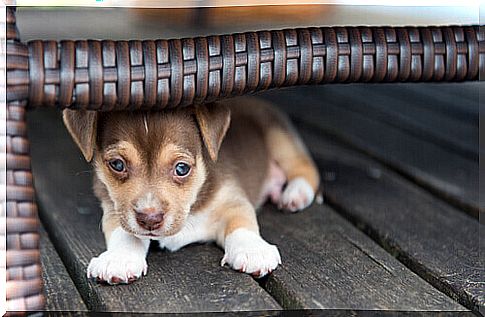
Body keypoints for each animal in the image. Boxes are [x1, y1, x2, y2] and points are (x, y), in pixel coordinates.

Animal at [62, 97, 320, 284]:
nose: (150, 220)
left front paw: (252, 250)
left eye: (182, 168)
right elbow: (123, 232)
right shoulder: (113, 208)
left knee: (306, 169)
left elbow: (242, 223)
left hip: (279, 137)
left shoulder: (232, 200)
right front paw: (119, 259)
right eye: (117, 165)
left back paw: (295, 194)